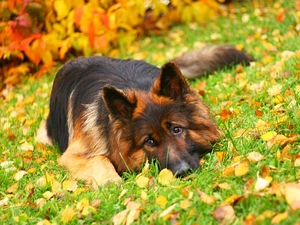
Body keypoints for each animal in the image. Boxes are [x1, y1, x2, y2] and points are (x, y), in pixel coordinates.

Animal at [38, 44, 253, 185]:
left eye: (177, 129)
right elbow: (100, 159)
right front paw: (110, 180)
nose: (183, 172)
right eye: (149, 141)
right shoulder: (72, 155)